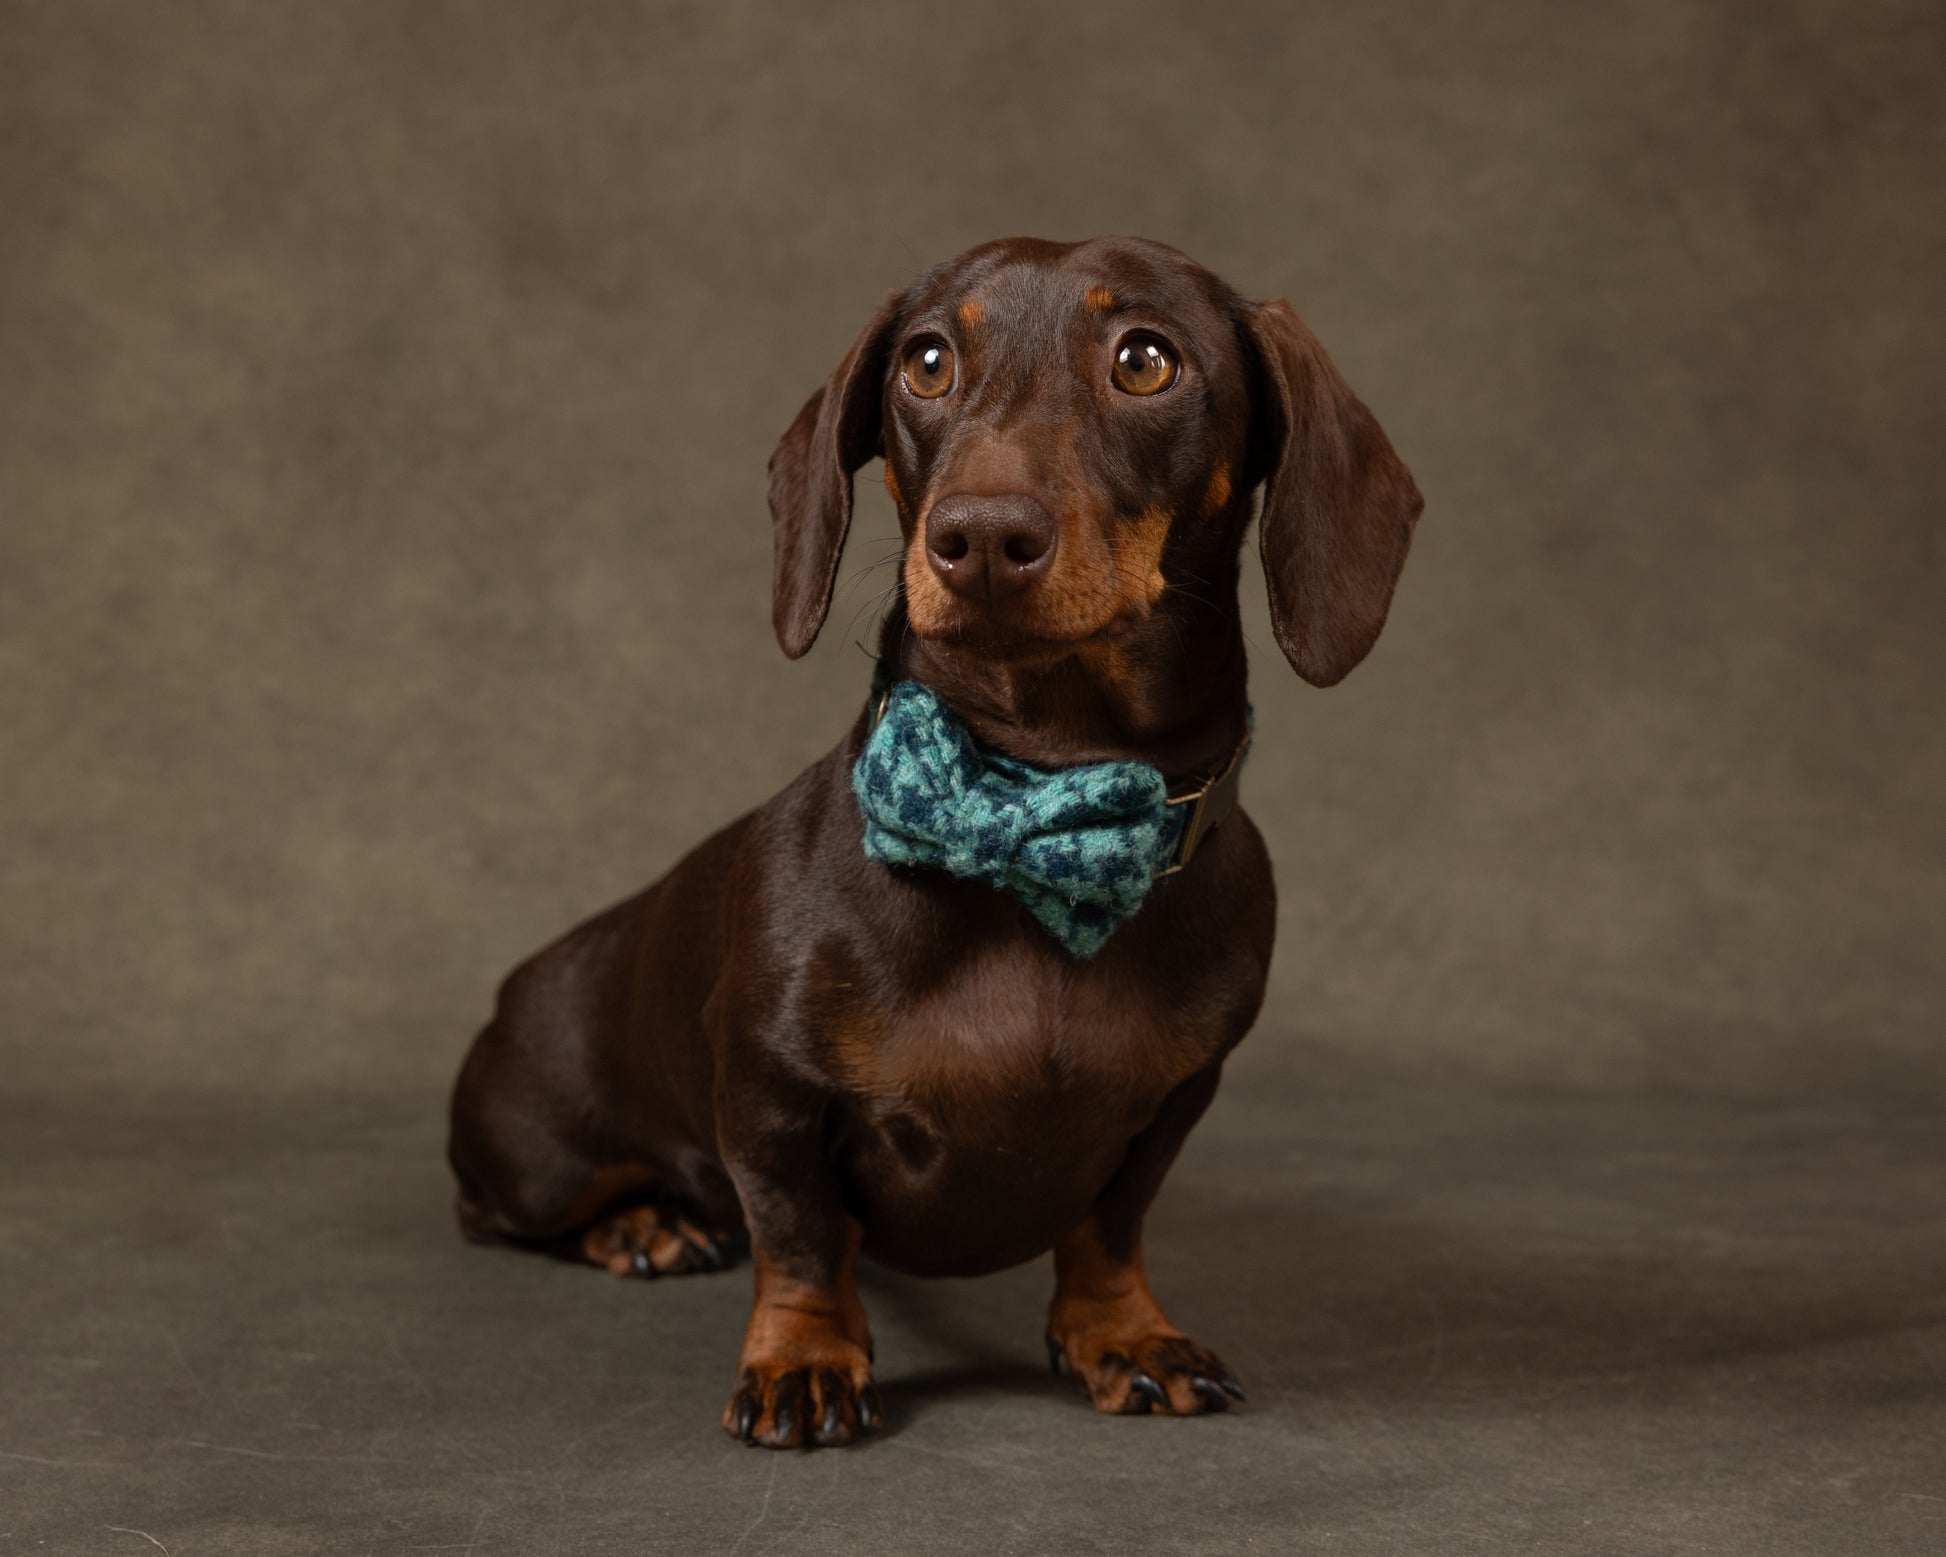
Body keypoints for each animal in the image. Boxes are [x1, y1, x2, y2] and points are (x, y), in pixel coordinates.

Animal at [447, 234, 1424, 1448]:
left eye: (1145, 359)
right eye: (925, 362)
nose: (982, 537)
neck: (1032, 801)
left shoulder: (1174, 1100)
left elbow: (1110, 1228)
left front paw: (1123, 1334)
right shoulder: (767, 1092)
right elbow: (800, 1234)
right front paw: (804, 1357)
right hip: (533, 1156)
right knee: (497, 1211)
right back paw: (636, 1225)